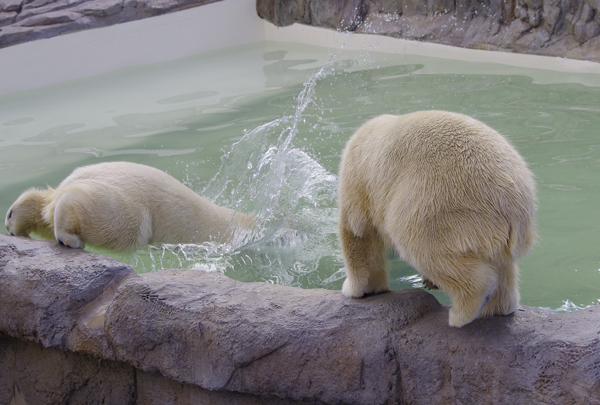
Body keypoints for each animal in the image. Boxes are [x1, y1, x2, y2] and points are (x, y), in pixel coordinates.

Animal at [338, 111, 540, 328]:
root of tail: (517, 205)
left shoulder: (358, 176)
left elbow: (357, 231)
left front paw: (356, 288)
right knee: (503, 268)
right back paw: (497, 308)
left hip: (440, 201)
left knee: (422, 244)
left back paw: (464, 311)